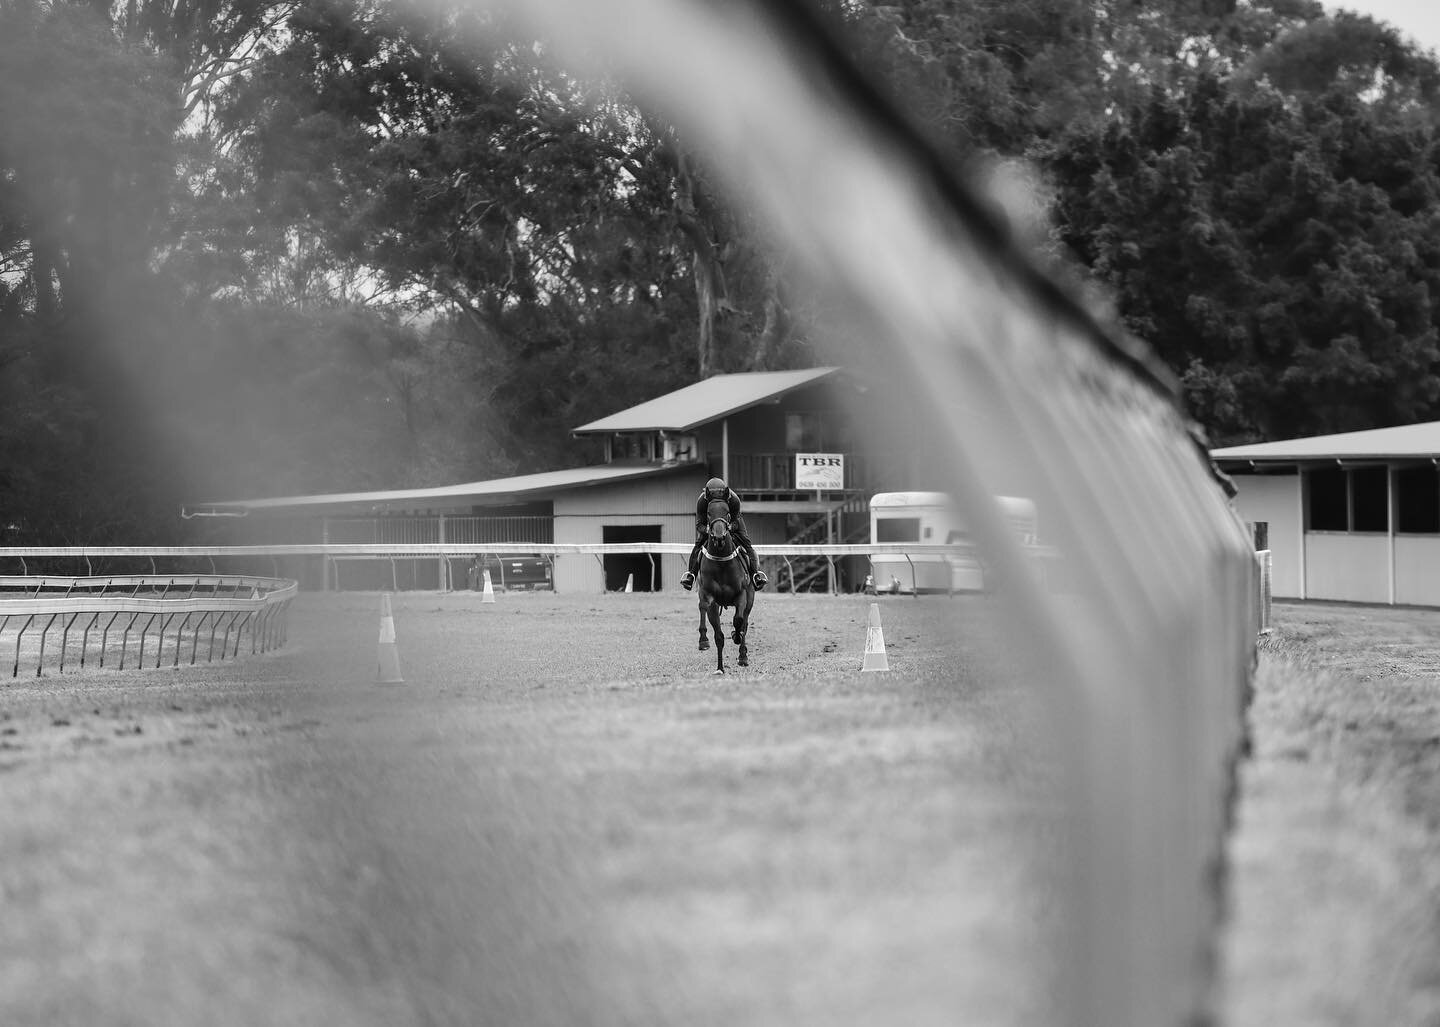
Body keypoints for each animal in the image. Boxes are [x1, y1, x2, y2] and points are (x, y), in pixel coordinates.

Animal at [694, 495, 754, 674]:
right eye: (708, 513)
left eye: (727, 512)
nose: (719, 537)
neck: (721, 562)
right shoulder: (710, 598)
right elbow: (718, 636)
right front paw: (720, 668)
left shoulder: (742, 595)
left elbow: (739, 620)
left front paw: (736, 636)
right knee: (702, 608)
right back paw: (704, 640)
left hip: (750, 599)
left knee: (745, 622)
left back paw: (743, 655)